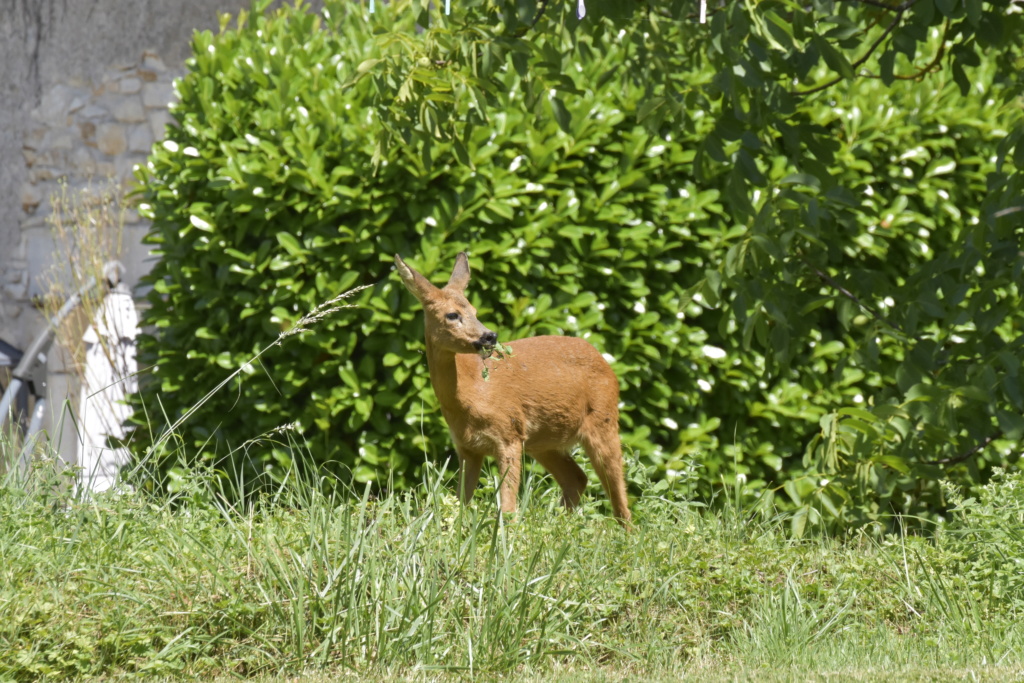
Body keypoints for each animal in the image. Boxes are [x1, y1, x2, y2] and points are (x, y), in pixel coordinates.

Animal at [393, 253, 626, 528]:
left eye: (474, 311)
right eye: (452, 314)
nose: (489, 336)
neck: (472, 393)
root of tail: (606, 363)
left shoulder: (509, 433)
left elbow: (508, 508)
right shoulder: (467, 447)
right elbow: (462, 502)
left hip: (603, 420)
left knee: (617, 486)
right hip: (543, 442)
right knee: (577, 478)